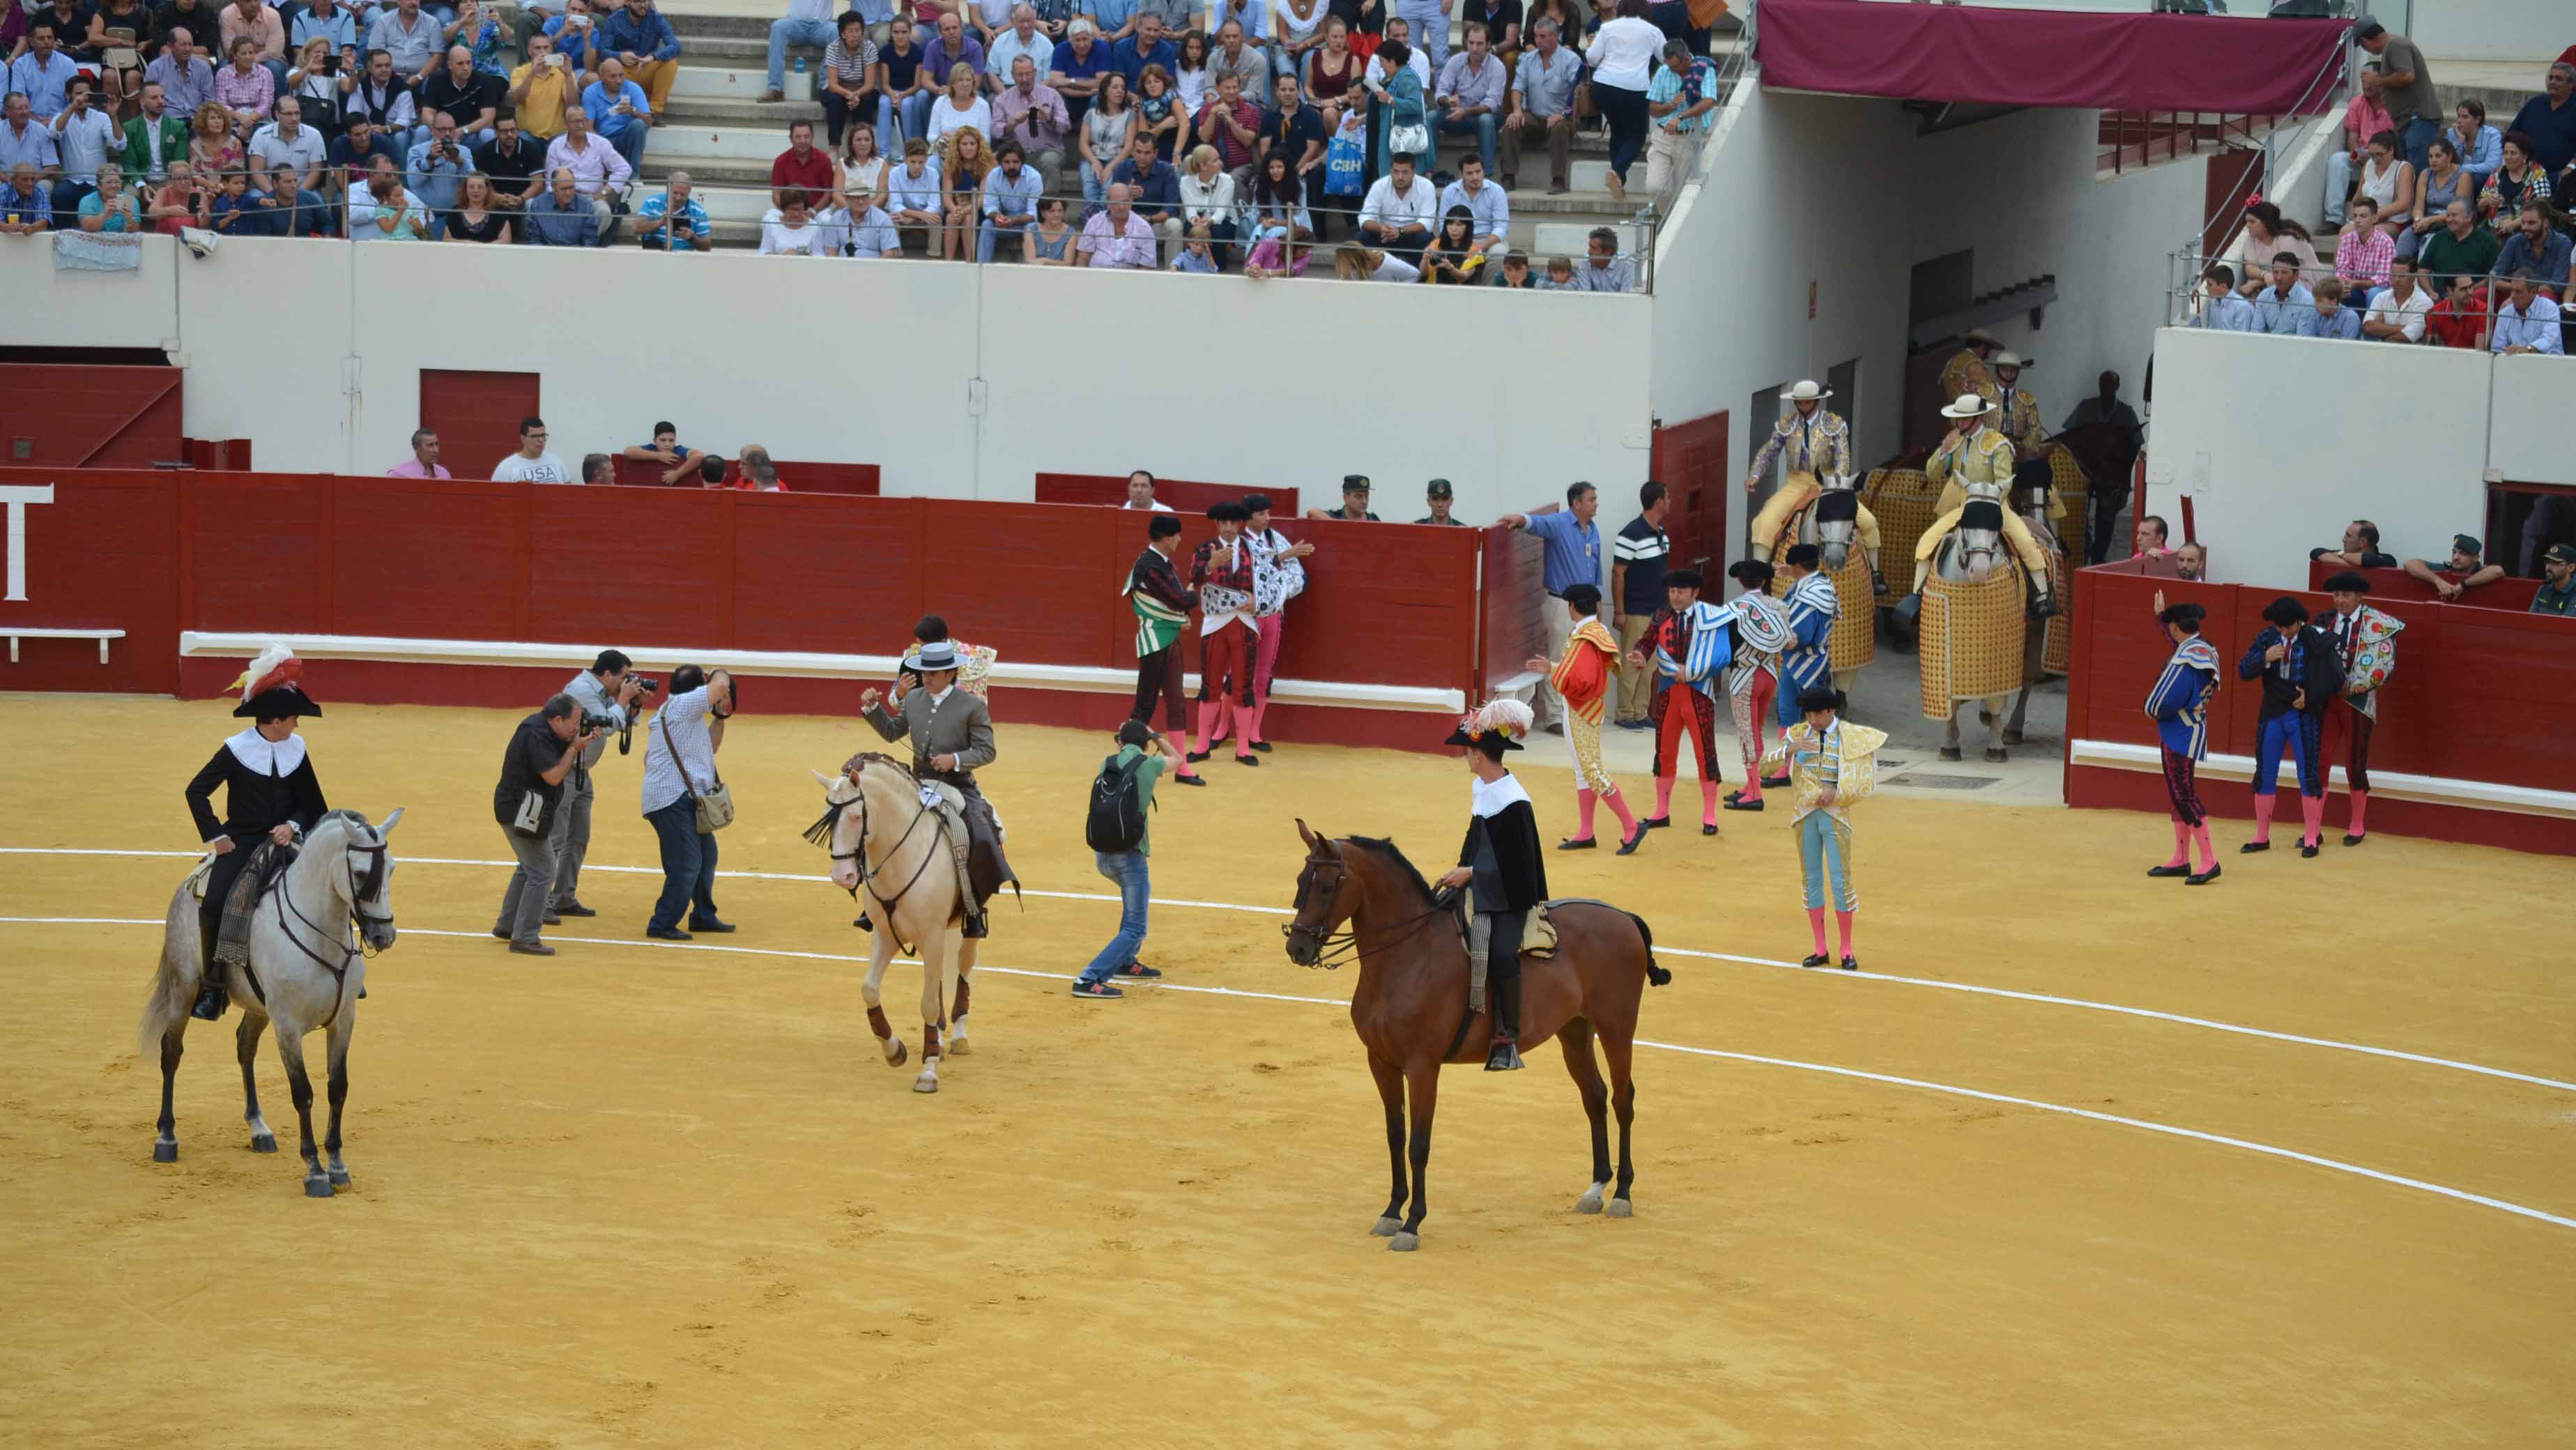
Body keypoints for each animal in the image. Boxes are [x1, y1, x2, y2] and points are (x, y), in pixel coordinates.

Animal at [804, 757, 974, 1097]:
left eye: (856, 816)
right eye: (827, 819)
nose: (842, 877)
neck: (899, 860)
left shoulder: (932, 936)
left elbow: (928, 1004)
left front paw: (928, 1072)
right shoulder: (886, 935)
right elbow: (870, 990)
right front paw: (894, 1050)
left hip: (970, 923)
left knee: (963, 966)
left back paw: (959, 1036)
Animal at [1282, 824, 1669, 1251]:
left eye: (1327, 886)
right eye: (1301, 880)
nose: (1297, 948)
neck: (1408, 954)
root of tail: (1624, 917)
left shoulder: (1423, 1067)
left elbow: (1419, 1144)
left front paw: (1412, 1223)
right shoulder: (1381, 1063)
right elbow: (1395, 1136)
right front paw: (1391, 1211)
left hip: (1617, 1028)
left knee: (1622, 1099)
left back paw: (1622, 1194)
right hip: (1574, 1030)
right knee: (1595, 1097)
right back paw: (1596, 1189)